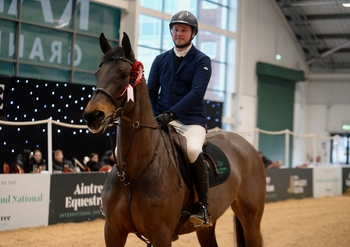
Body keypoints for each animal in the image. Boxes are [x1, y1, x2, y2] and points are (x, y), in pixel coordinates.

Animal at [83, 32, 266, 247]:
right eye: (97, 74)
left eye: (123, 74)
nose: (92, 116)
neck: (132, 175)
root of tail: (246, 146)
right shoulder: (112, 231)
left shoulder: (161, 234)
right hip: (207, 228)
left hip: (251, 219)